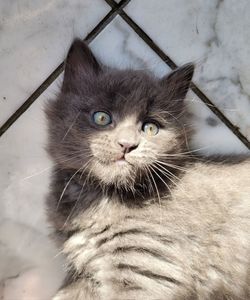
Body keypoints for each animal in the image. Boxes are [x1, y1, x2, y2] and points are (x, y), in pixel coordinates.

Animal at [45, 39, 250, 300]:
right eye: (101, 117)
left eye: (150, 128)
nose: (127, 144)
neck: (104, 197)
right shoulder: (87, 273)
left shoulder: (145, 269)